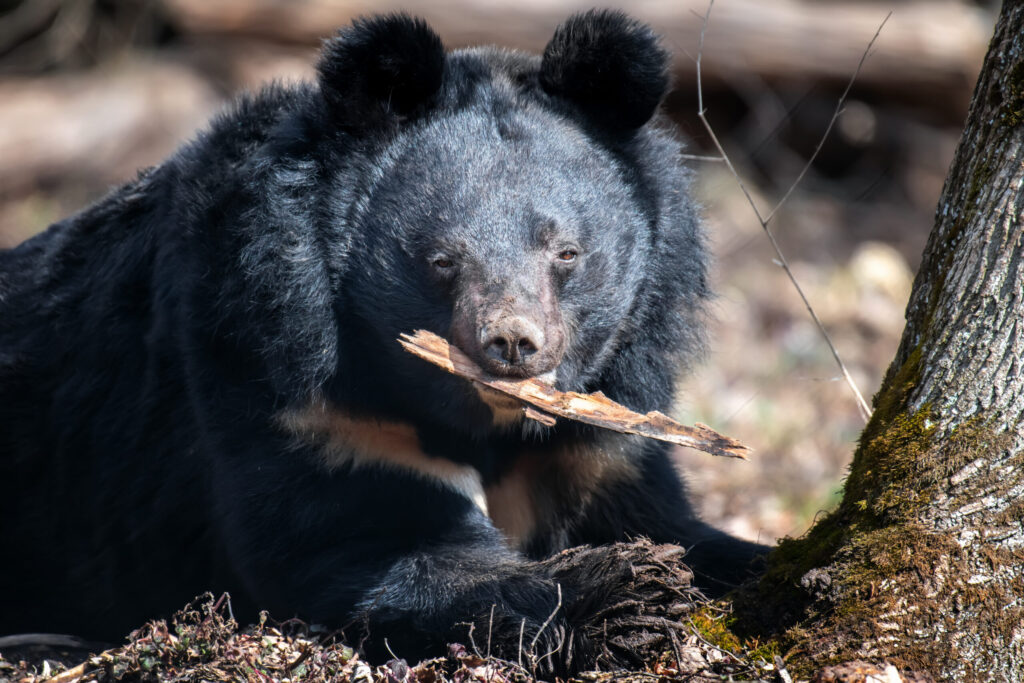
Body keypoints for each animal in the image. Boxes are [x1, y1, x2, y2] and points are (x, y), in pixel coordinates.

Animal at [0, 10, 765, 674]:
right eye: (443, 259)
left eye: (567, 253)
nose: (512, 343)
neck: (480, 423)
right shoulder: (301, 396)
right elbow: (381, 544)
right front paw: (625, 596)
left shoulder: (598, 435)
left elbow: (665, 520)